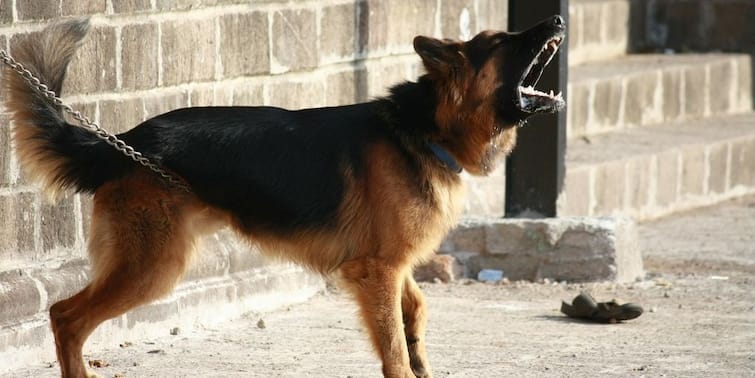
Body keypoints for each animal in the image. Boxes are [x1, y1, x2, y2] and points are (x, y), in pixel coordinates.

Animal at [2, 14, 564, 378]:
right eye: (503, 41)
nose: (558, 18)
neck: (423, 129)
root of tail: (125, 142)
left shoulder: (393, 265)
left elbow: (416, 312)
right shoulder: (377, 271)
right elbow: (395, 351)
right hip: (152, 266)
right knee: (65, 317)